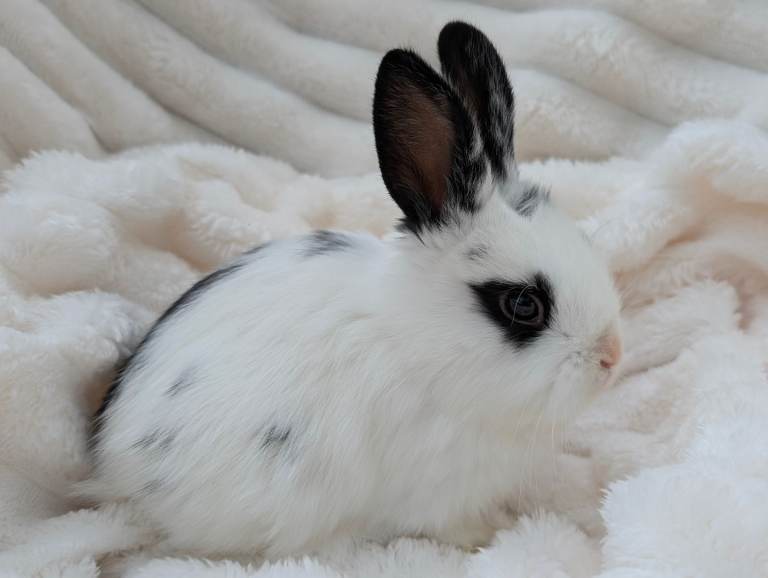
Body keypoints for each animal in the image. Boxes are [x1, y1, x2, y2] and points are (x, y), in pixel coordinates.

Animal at [82, 21, 623, 559]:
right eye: (524, 305)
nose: (612, 357)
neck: (419, 346)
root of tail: (114, 472)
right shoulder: (434, 492)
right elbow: (453, 527)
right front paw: (493, 534)